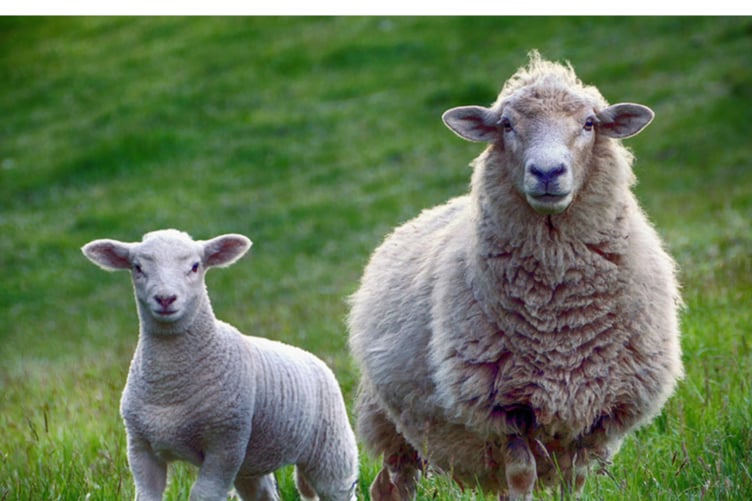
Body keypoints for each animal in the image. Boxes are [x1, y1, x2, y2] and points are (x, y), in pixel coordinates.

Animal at [82, 229, 358, 501]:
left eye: (195, 266)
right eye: (137, 267)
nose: (165, 298)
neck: (169, 386)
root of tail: (313, 358)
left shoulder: (225, 444)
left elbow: (203, 494)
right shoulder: (140, 446)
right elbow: (147, 495)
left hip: (332, 449)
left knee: (338, 488)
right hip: (251, 462)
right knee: (262, 494)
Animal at [348, 51, 683, 500]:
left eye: (589, 123)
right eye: (507, 124)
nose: (547, 172)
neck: (560, 317)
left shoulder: (594, 410)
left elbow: (574, 482)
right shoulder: (504, 411)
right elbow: (522, 476)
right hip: (390, 422)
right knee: (393, 483)